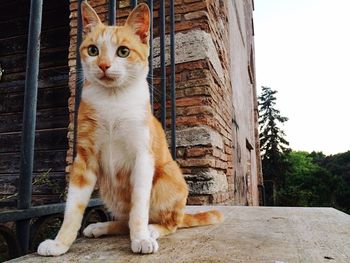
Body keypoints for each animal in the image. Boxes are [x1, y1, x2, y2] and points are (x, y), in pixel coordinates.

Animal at [37, 1, 223, 256]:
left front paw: (142, 238)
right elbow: (73, 208)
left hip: (166, 180)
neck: (113, 100)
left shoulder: (142, 157)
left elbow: (139, 207)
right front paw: (59, 244)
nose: (104, 65)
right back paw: (101, 227)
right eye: (93, 50)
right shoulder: (84, 159)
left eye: (123, 52)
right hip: (108, 189)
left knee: (171, 223)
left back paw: (152, 229)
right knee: (124, 221)